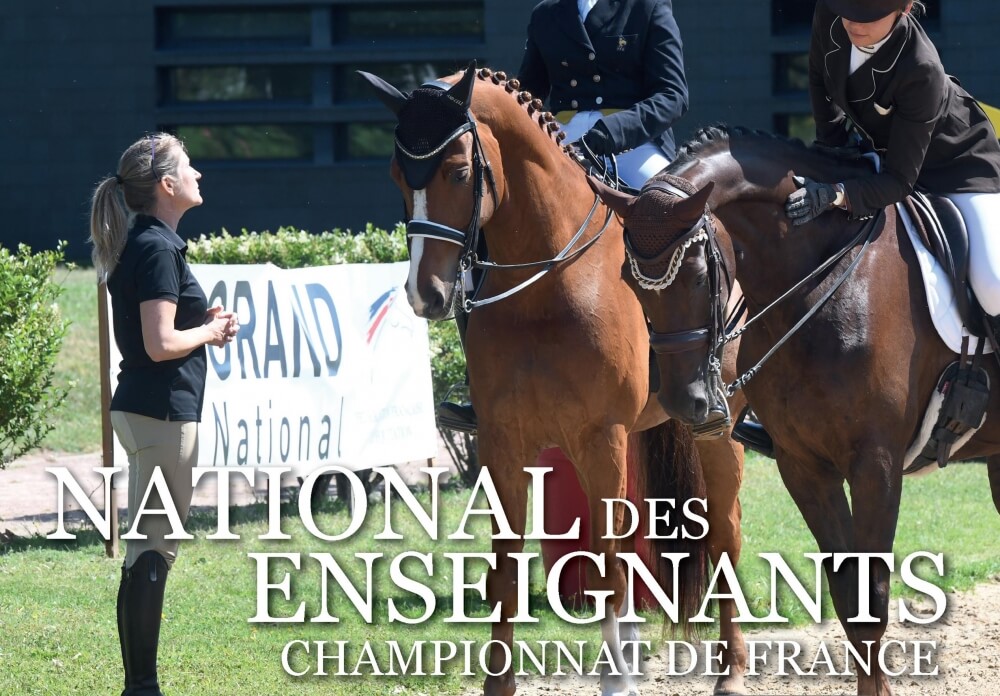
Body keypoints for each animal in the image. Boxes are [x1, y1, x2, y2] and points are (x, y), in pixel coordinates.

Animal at [364, 66, 748, 696]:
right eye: (397, 176)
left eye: (459, 172)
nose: (427, 295)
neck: (549, 281)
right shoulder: (503, 441)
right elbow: (506, 568)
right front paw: (500, 684)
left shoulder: (600, 436)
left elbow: (609, 561)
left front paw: (616, 680)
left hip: (715, 430)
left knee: (724, 533)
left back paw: (731, 670)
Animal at [588, 126, 1000, 696]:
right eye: (629, 279)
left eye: (698, 273)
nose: (686, 403)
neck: (818, 281)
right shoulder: (803, 465)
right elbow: (849, 597)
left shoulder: (875, 464)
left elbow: (872, 597)